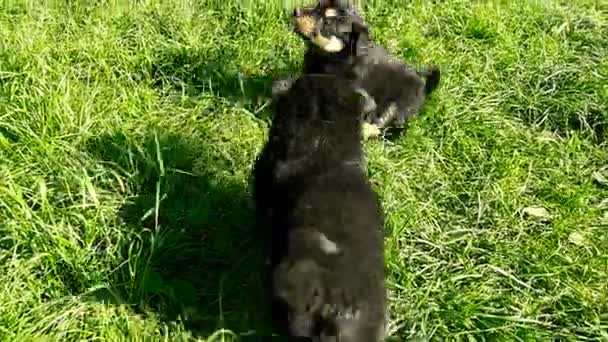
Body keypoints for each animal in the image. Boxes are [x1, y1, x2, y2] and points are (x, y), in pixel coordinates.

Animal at [274, 0, 440, 140]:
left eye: (328, 22)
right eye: (317, 5)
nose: (295, 11)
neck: (332, 55)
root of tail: (424, 88)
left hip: (399, 104)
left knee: (384, 127)